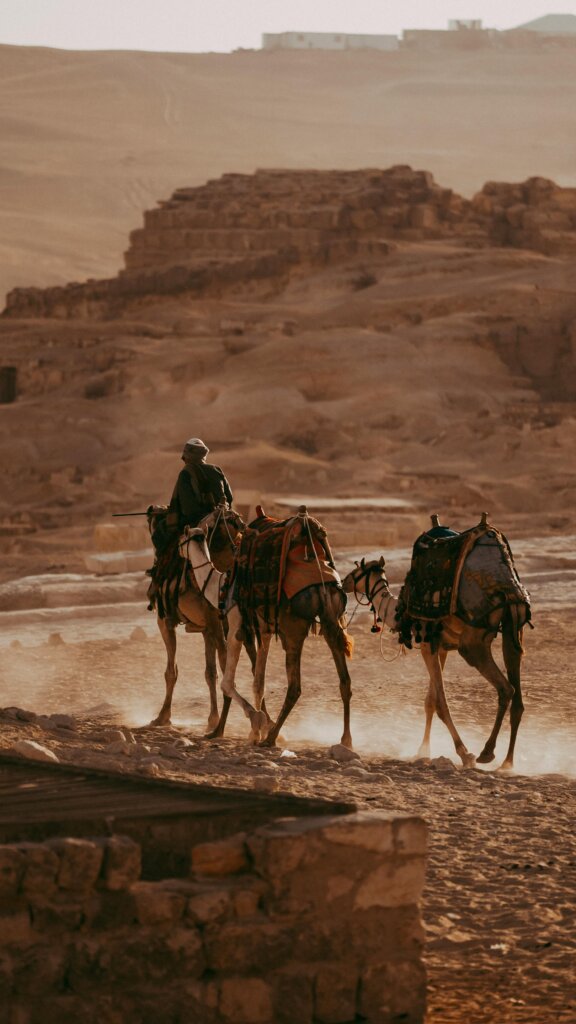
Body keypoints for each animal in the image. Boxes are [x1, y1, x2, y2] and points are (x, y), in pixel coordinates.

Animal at [144, 505, 248, 733]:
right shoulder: (208, 628)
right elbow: (210, 673)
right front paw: (212, 719)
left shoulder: (166, 621)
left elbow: (171, 671)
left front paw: (163, 717)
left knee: (227, 661)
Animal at [340, 520, 528, 770]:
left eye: (356, 571)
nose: (343, 582)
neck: (399, 610)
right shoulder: (440, 646)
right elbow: (430, 701)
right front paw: (423, 750)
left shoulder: (427, 643)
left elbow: (440, 703)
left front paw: (464, 753)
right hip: (514, 626)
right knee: (517, 691)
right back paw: (507, 762)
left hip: (473, 642)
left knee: (506, 688)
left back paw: (486, 753)